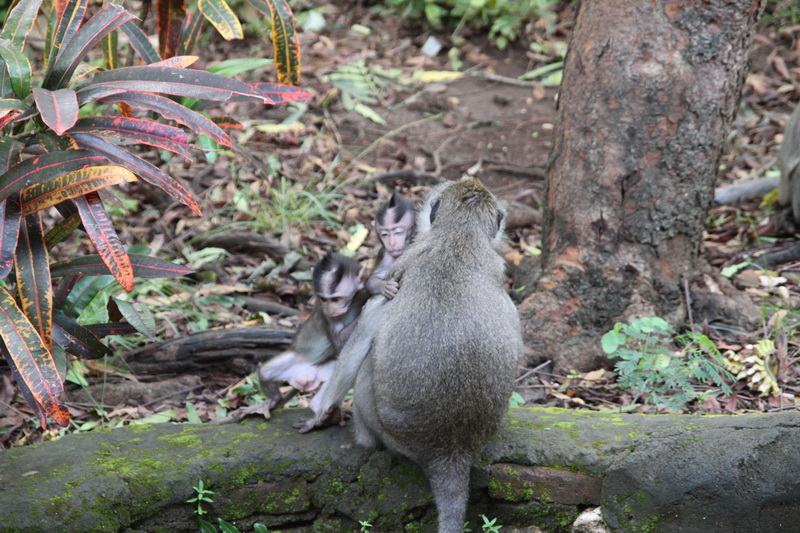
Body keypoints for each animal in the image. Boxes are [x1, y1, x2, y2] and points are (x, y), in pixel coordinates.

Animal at [297, 178, 523, 533]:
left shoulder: (404, 263)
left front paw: (319, 413)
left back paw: (362, 438)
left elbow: (362, 336)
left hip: (386, 430)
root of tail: (452, 451)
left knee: (365, 365)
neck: (460, 236)